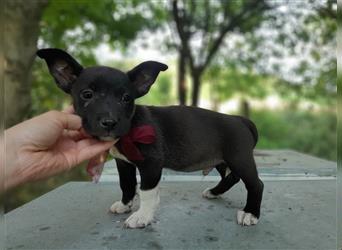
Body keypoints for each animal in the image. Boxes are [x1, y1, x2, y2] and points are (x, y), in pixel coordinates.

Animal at [37, 48, 264, 229]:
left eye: (126, 98)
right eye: (87, 94)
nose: (110, 122)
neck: (130, 127)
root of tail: (240, 119)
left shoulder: (151, 164)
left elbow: (146, 191)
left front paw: (142, 216)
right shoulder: (123, 163)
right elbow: (127, 184)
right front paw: (125, 205)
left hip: (239, 158)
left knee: (256, 184)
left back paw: (250, 213)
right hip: (222, 159)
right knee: (232, 178)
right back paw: (215, 192)